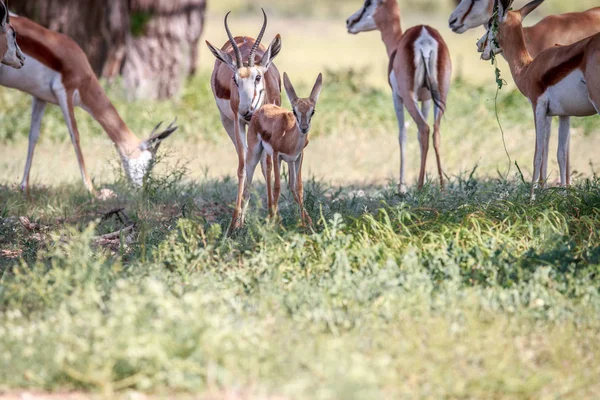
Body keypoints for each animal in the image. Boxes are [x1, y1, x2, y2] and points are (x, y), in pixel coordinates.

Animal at [0, 16, 177, 195]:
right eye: (149, 162)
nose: (142, 190)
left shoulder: (39, 97)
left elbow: (33, 136)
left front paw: (24, 187)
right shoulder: (65, 92)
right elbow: (75, 136)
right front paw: (92, 191)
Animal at [205, 9, 282, 231]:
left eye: (258, 77)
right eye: (235, 80)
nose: (247, 111)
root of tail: (242, 37)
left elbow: (268, 166)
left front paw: (272, 217)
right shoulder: (238, 122)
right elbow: (242, 166)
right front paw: (234, 223)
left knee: (257, 160)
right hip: (228, 123)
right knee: (247, 157)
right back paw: (239, 220)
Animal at [231, 70, 324, 230]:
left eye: (312, 111)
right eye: (294, 111)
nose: (304, 128)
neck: (289, 138)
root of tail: (261, 109)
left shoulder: (298, 157)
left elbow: (298, 187)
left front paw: (306, 225)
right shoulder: (276, 155)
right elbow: (277, 187)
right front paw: (275, 226)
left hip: (288, 162)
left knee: (290, 185)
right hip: (254, 155)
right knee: (247, 187)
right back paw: (239, 225)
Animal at [344, 0, 452, 194]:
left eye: (367, 3)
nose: (349, 22)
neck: (397, 45)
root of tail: (424, 37)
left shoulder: (396, 96)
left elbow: (402, 135)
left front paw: (401, 186)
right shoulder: (425, 99)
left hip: (409, 98)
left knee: (424, 129)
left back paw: (419, 187)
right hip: (441, 96)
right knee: (435, 131)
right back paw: (441, 187)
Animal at [450, 0, 600, 186]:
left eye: (491, 23)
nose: (479, 45)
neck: (528, 68)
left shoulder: (539, 108)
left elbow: (538, 155)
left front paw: (536, 192)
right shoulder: (564, 114)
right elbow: (562, 155)